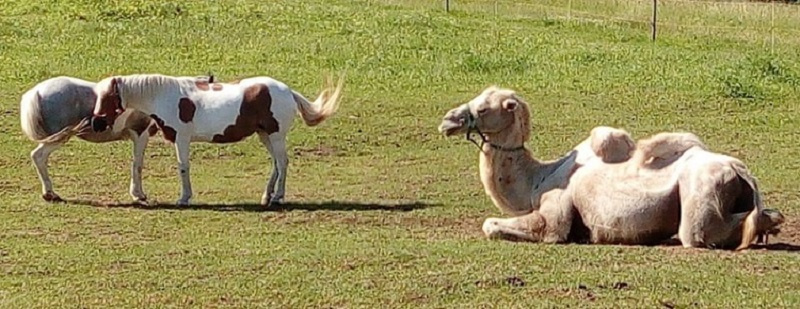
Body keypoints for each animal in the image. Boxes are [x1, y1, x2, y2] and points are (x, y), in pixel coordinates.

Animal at [19, 74, 214, 202]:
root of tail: (36, 92)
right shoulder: (141, 134)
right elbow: (138, 164)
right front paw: (139, 195)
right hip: (58, 138)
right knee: (38, 156)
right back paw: (50, 193)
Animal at [89, 73, 342, 206]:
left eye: (107, 97)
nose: (96, 123)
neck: (166, 97)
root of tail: (288, 91)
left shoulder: (182, 138)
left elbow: (183, 167)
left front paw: (184, 198)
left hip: (276, 135)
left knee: (282, 163)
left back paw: (277, 197)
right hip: (265, 135)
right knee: (276, 164)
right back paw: (266, 196)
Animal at [438, 85, 780, 249]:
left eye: (484, 108)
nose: (448, 121)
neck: (539, 178)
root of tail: (740, 171)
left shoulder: (555, 214)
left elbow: (494, 226)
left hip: (700, 203)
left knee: (706, 232)